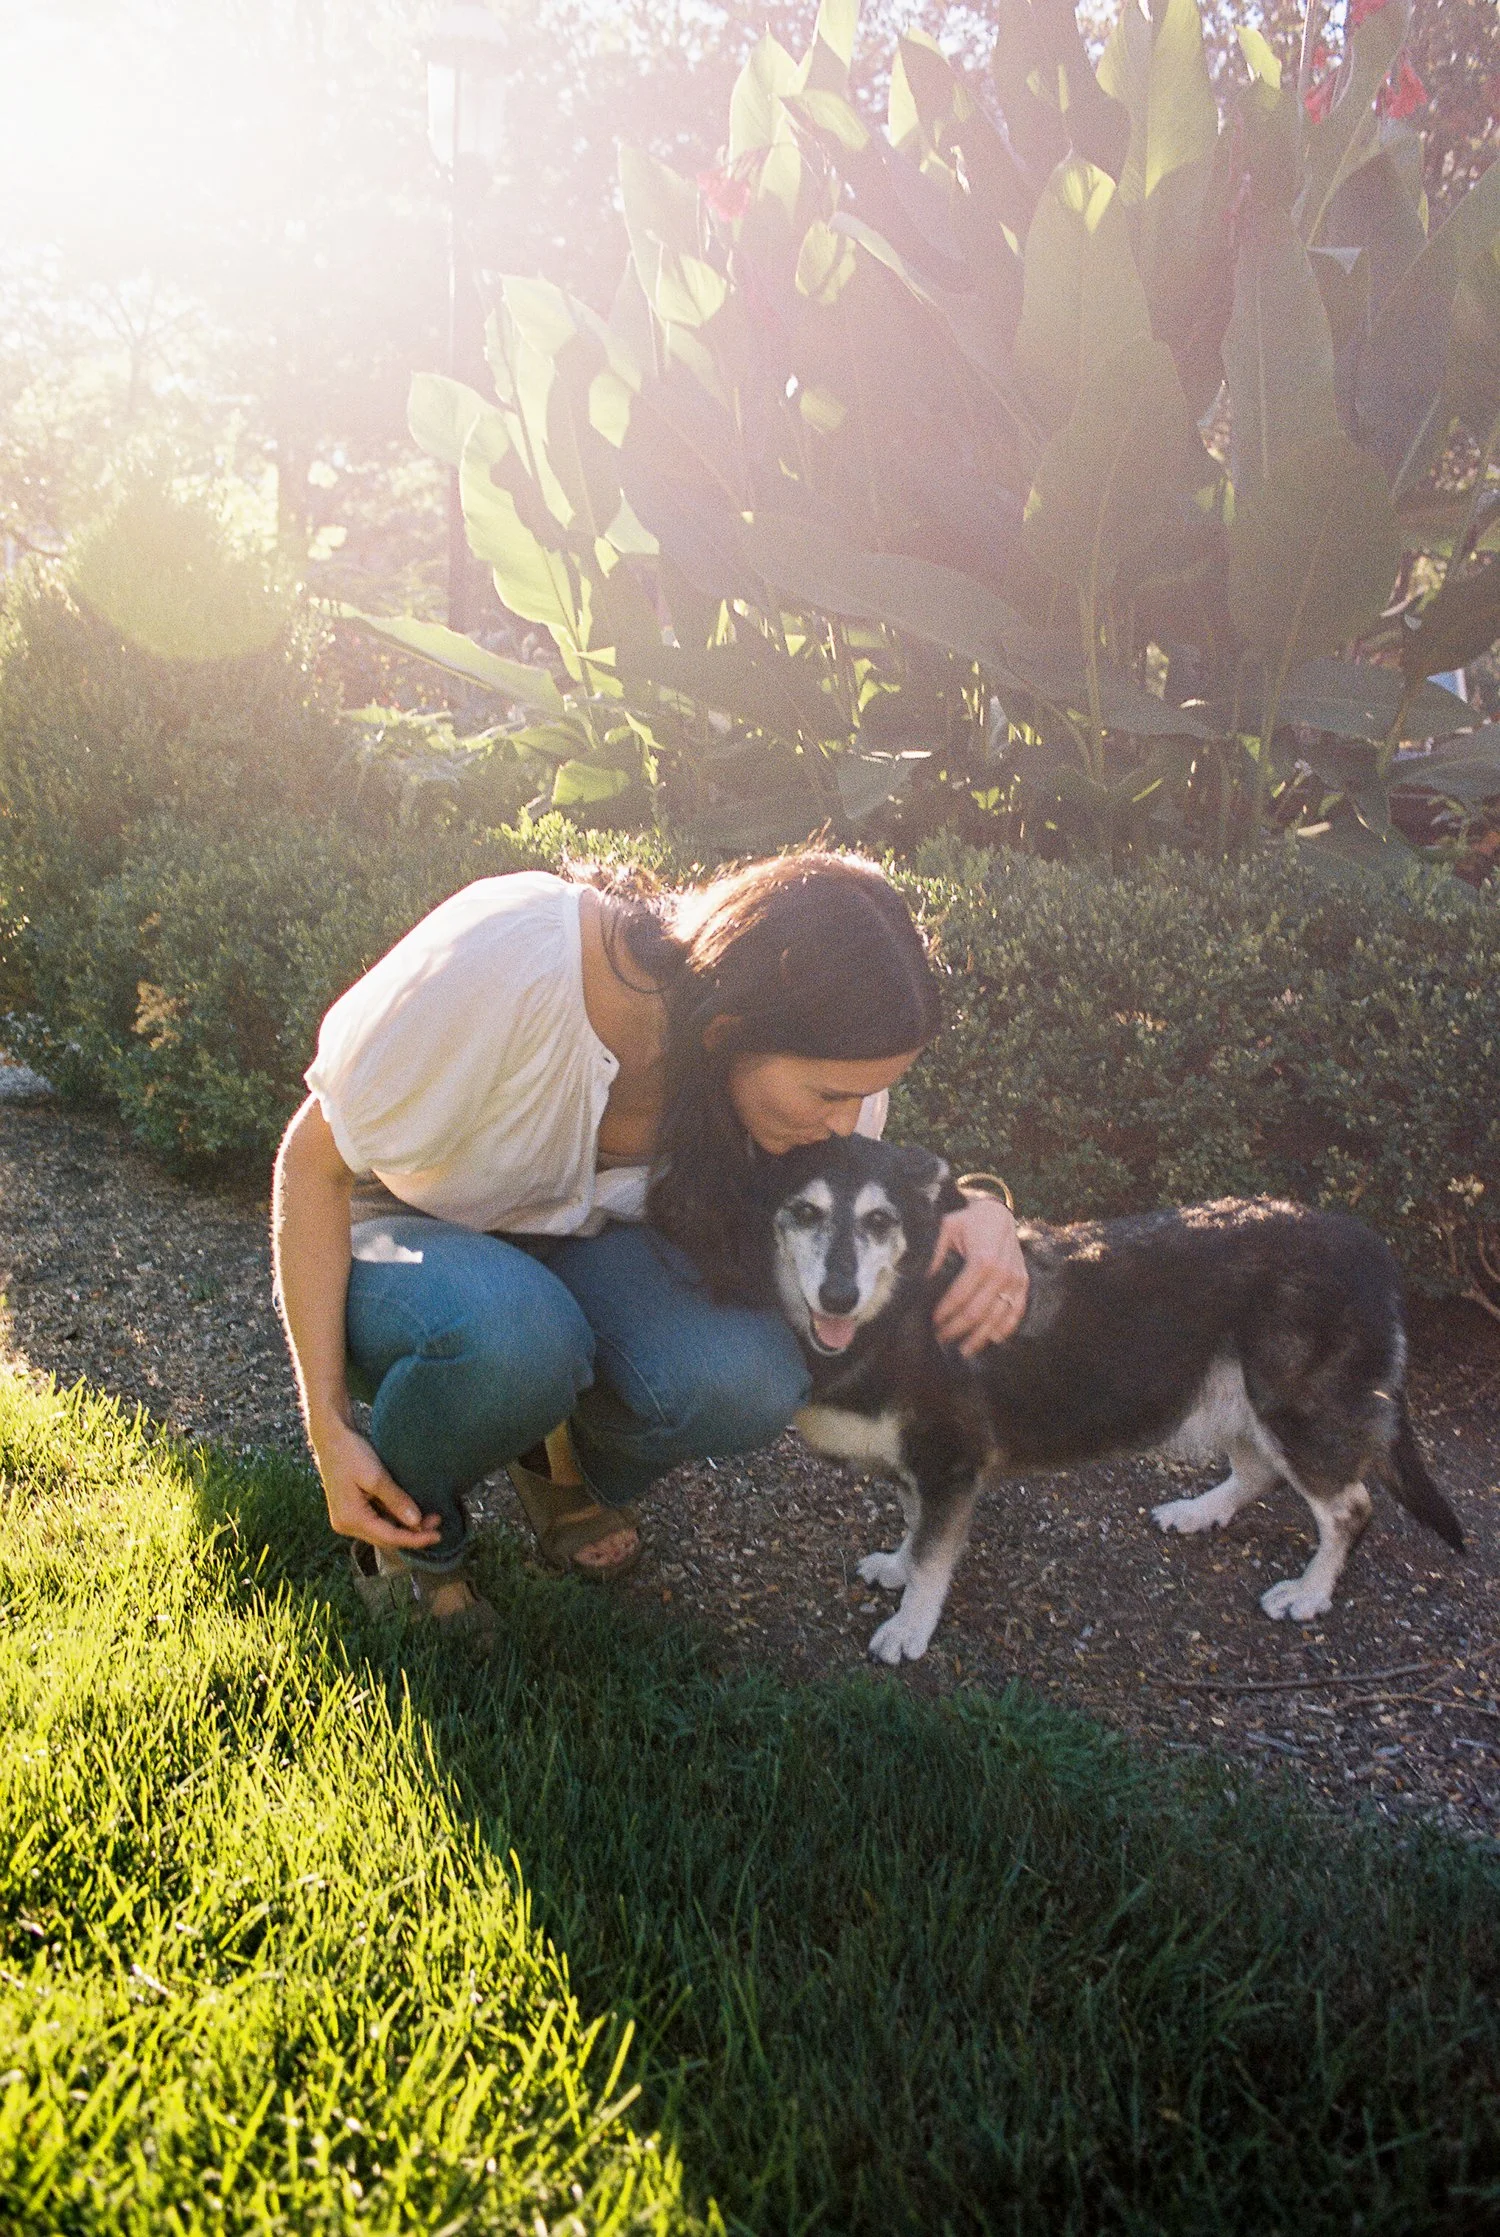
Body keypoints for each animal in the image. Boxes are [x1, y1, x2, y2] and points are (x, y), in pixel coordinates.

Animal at [764, 1135, 1462, 1665]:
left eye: (879, 1222)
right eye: (804, 1212)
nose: (838, 1296)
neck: (905, 1298)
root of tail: (1370, 1244)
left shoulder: (950, 1464)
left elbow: (935, 1555)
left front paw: (910, 1624)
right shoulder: (923, 1467)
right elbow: (915, 1525)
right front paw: (898, 1565)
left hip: (1293, 1409)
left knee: (1350, 1508)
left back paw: (1310, 1591)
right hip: (1231, 1390)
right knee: (1258, 1469)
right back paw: (1199, 1511)